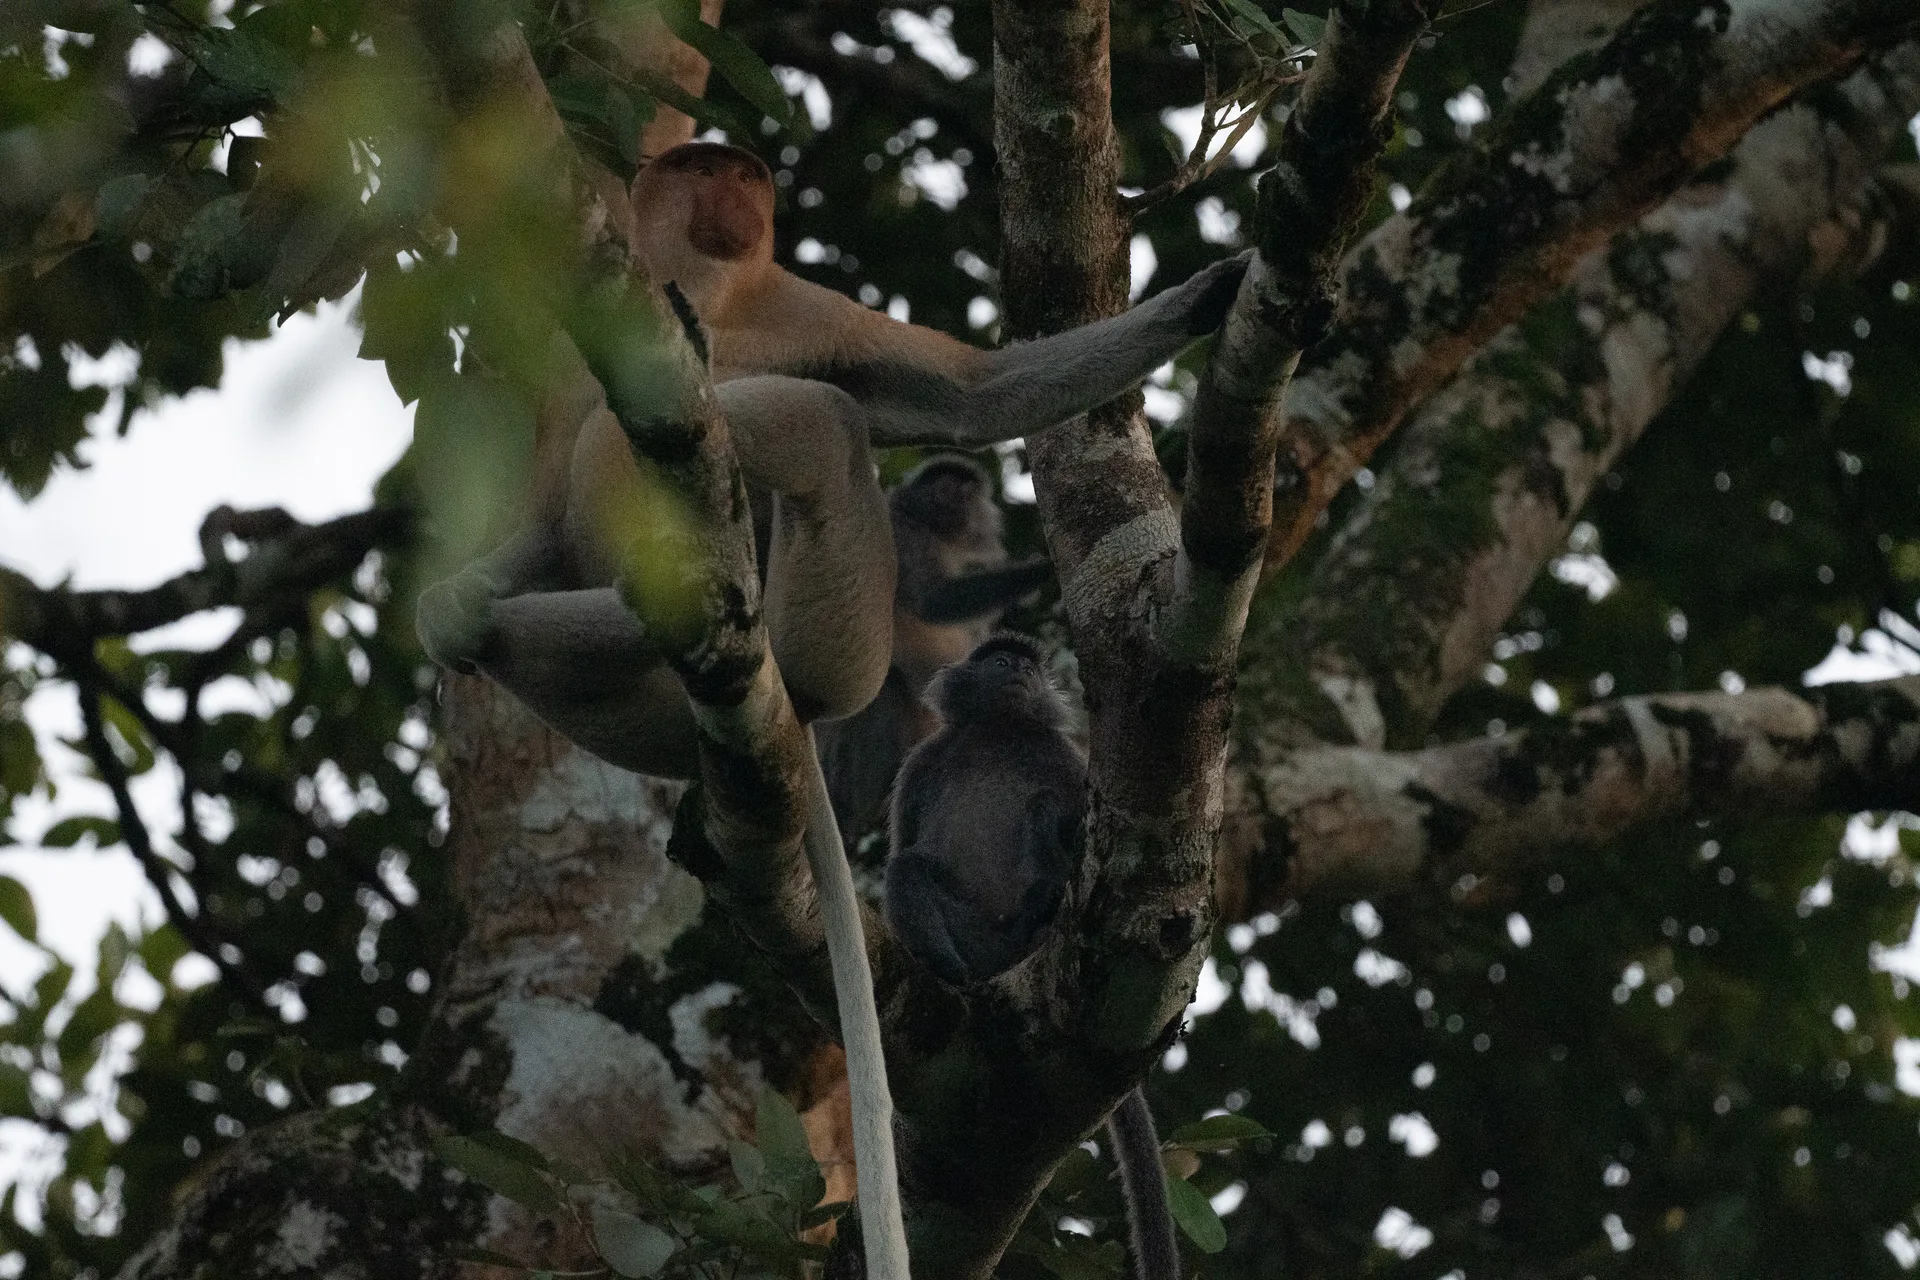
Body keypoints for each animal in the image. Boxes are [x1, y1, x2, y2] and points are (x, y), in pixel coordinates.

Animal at [884, 634, 1180, 1280]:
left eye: (1029, 664)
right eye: (1001, 662)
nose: (1020, 668)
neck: (998, 731)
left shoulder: (1058, 751)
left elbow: (1077, 815)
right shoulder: (924, 761)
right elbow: (903, 846)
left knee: (1046, 809)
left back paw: (1039, 911)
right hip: (975, 935)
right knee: (906, 870)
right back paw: (954, 973)